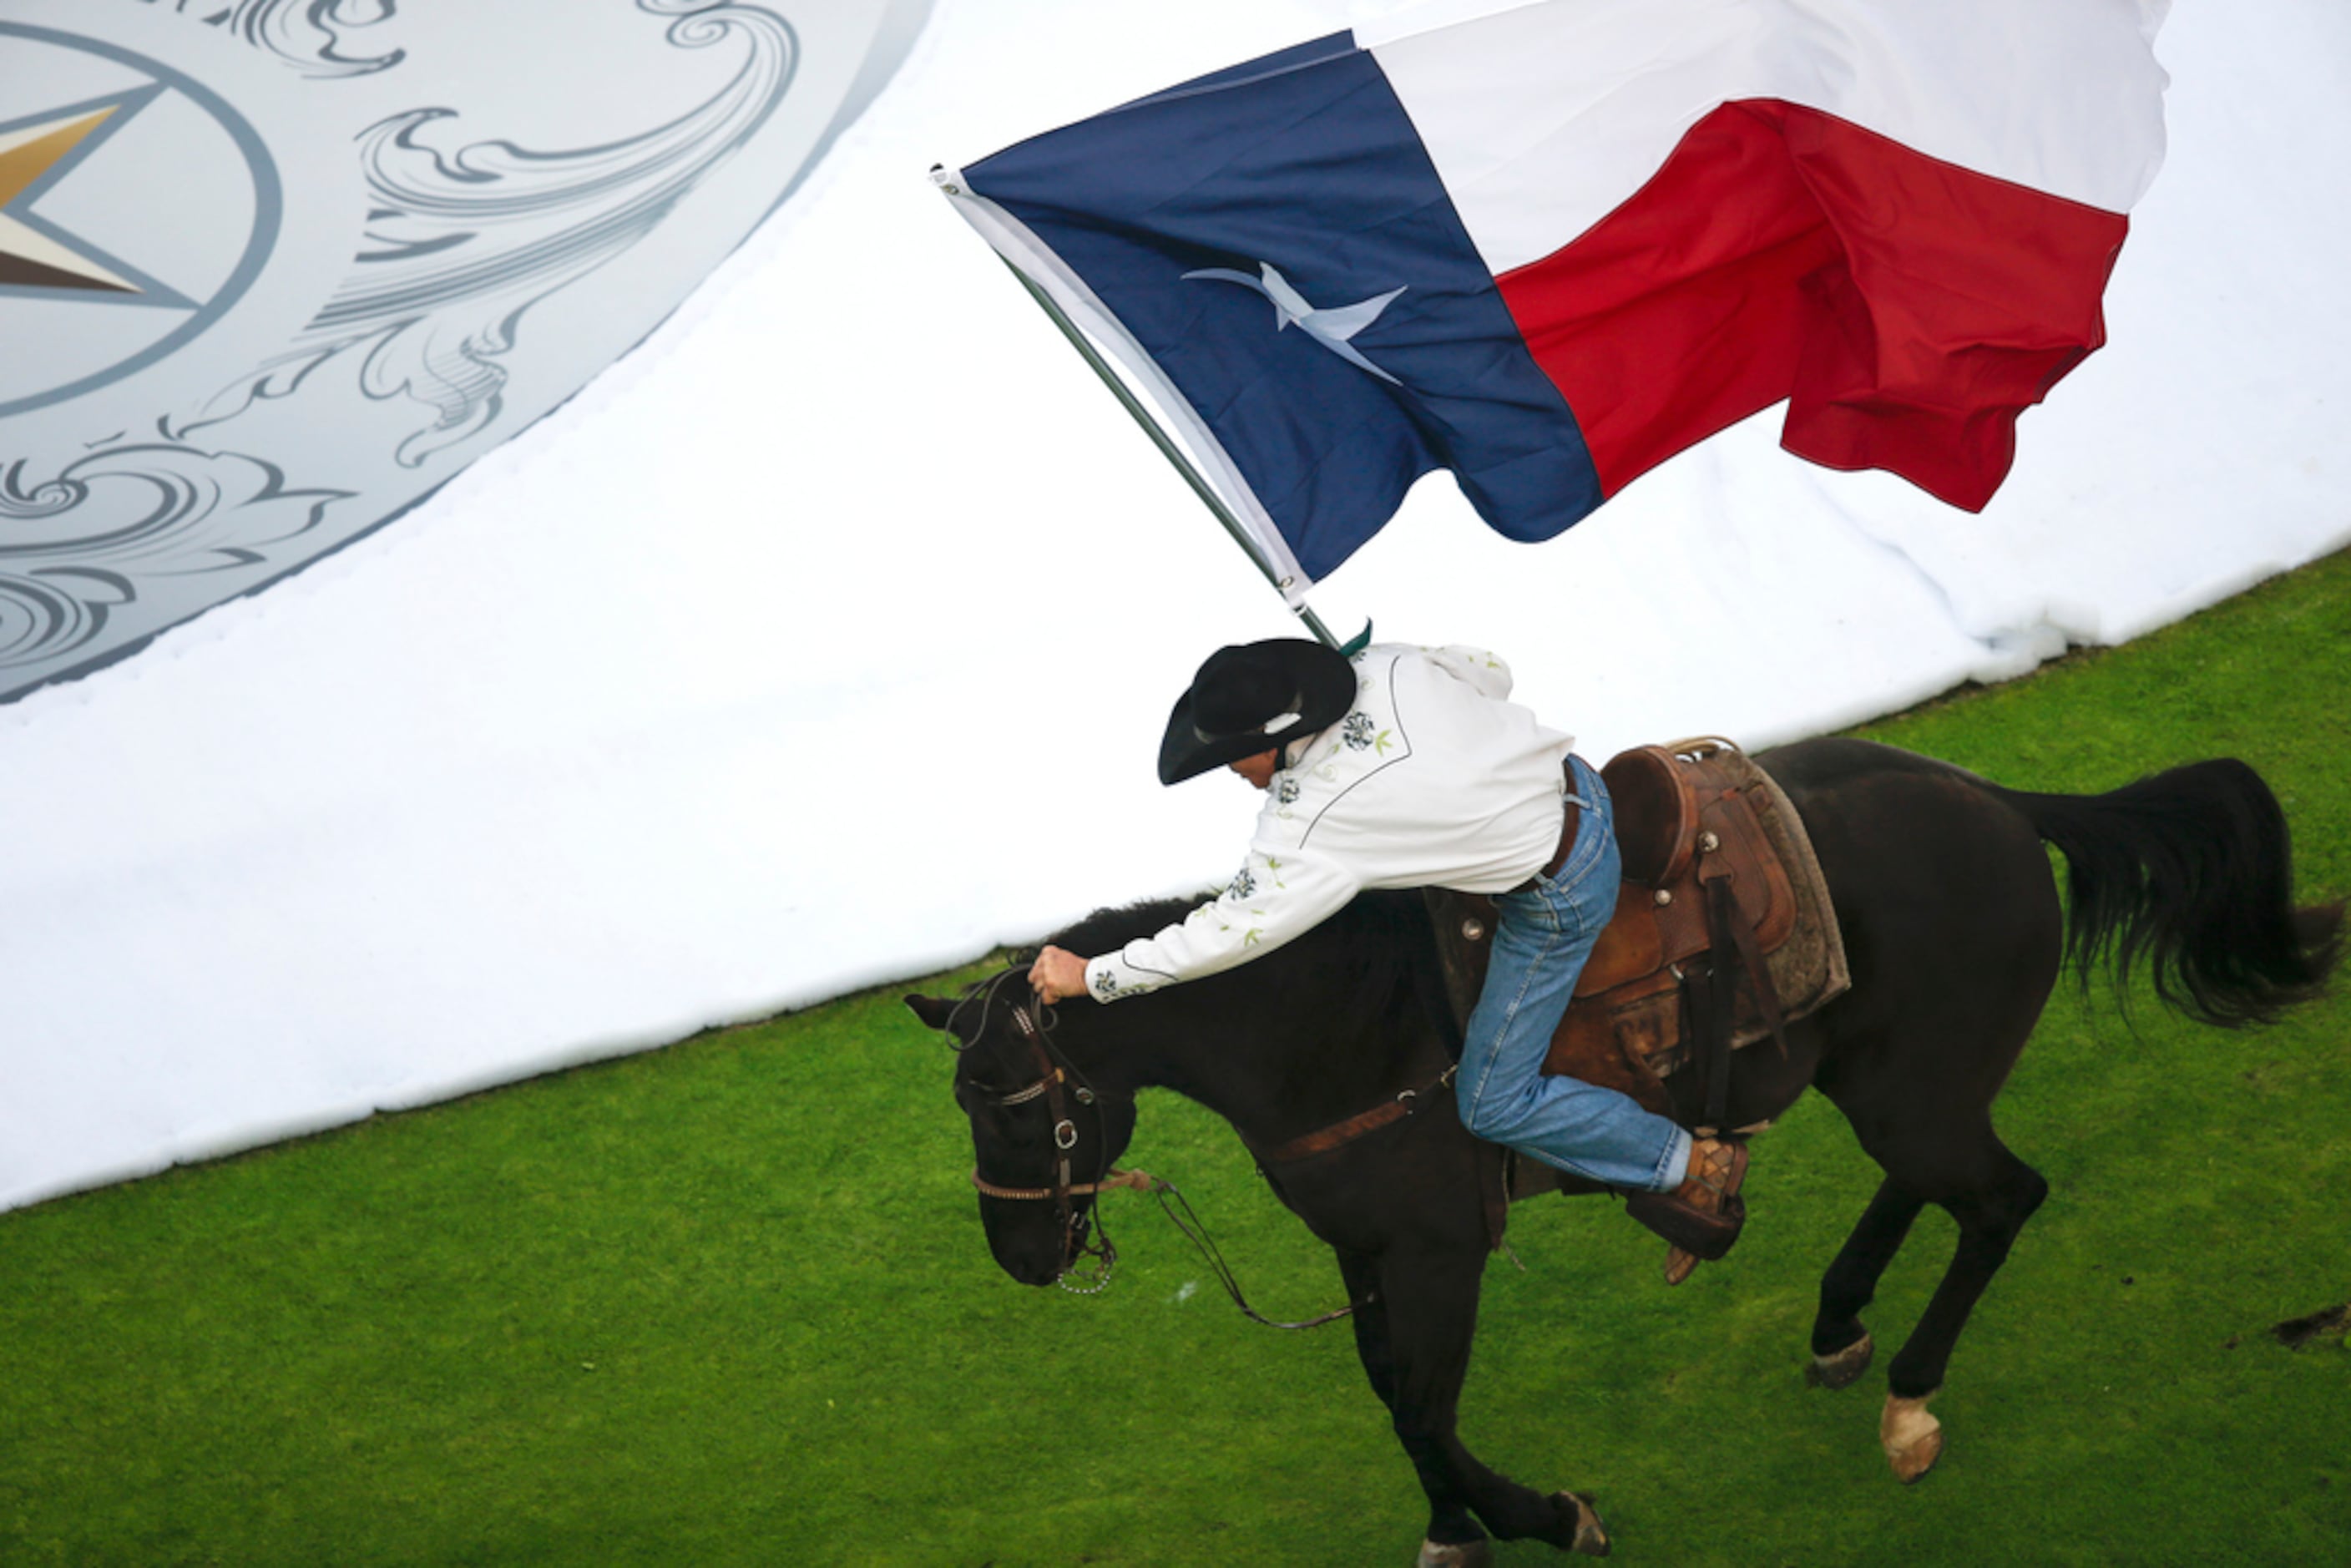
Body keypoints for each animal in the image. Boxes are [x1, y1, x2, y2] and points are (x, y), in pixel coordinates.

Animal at [897, 742, 2332, 1560]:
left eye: (1010, 1101)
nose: (1019, 1253)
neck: (1339, 1023)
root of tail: (1990, 796)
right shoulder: (1365, 1247)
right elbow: (1388, 1390)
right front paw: (1456, 1524)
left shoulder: (1438, 1249)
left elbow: (1423, 1403)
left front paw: (1543, 1514)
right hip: (1889, 1080)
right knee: (1936, 1186)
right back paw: (1833, 1318)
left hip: (1914, 1089)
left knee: (1999, 1198)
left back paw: (1906, 1399)